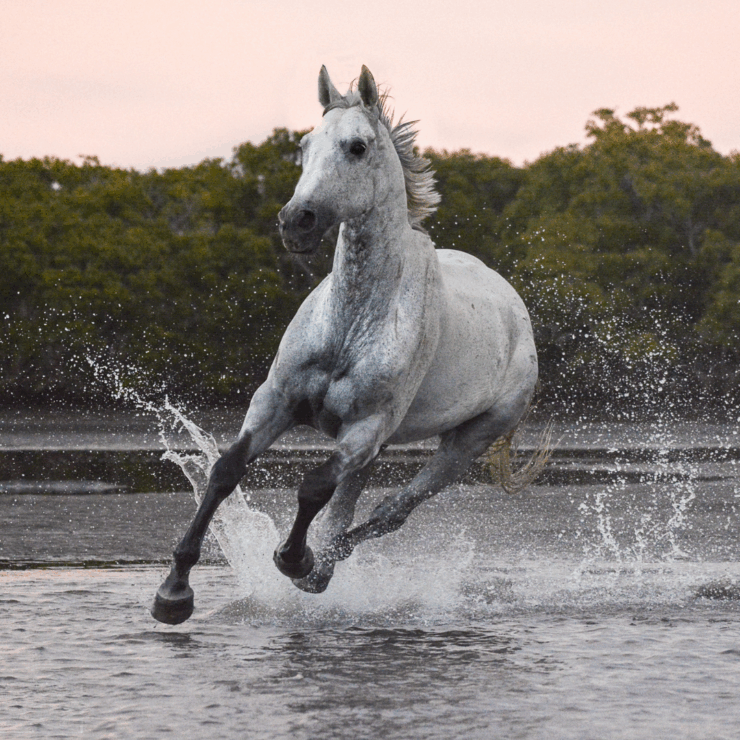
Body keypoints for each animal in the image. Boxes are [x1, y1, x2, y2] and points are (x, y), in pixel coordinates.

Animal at [152, 65, 538, 625]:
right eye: (304, 146)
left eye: (356, 146)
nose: (296, 221)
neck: (350, 325)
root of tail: (516, 311)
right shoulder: (276, 401)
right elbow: (226, 471)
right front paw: (174, 591)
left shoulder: (365, 428)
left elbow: (313, 485)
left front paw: (294, 559)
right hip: (382, 446)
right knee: (349, 506)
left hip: (464, 443)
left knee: (390, 511)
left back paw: (318, 570)